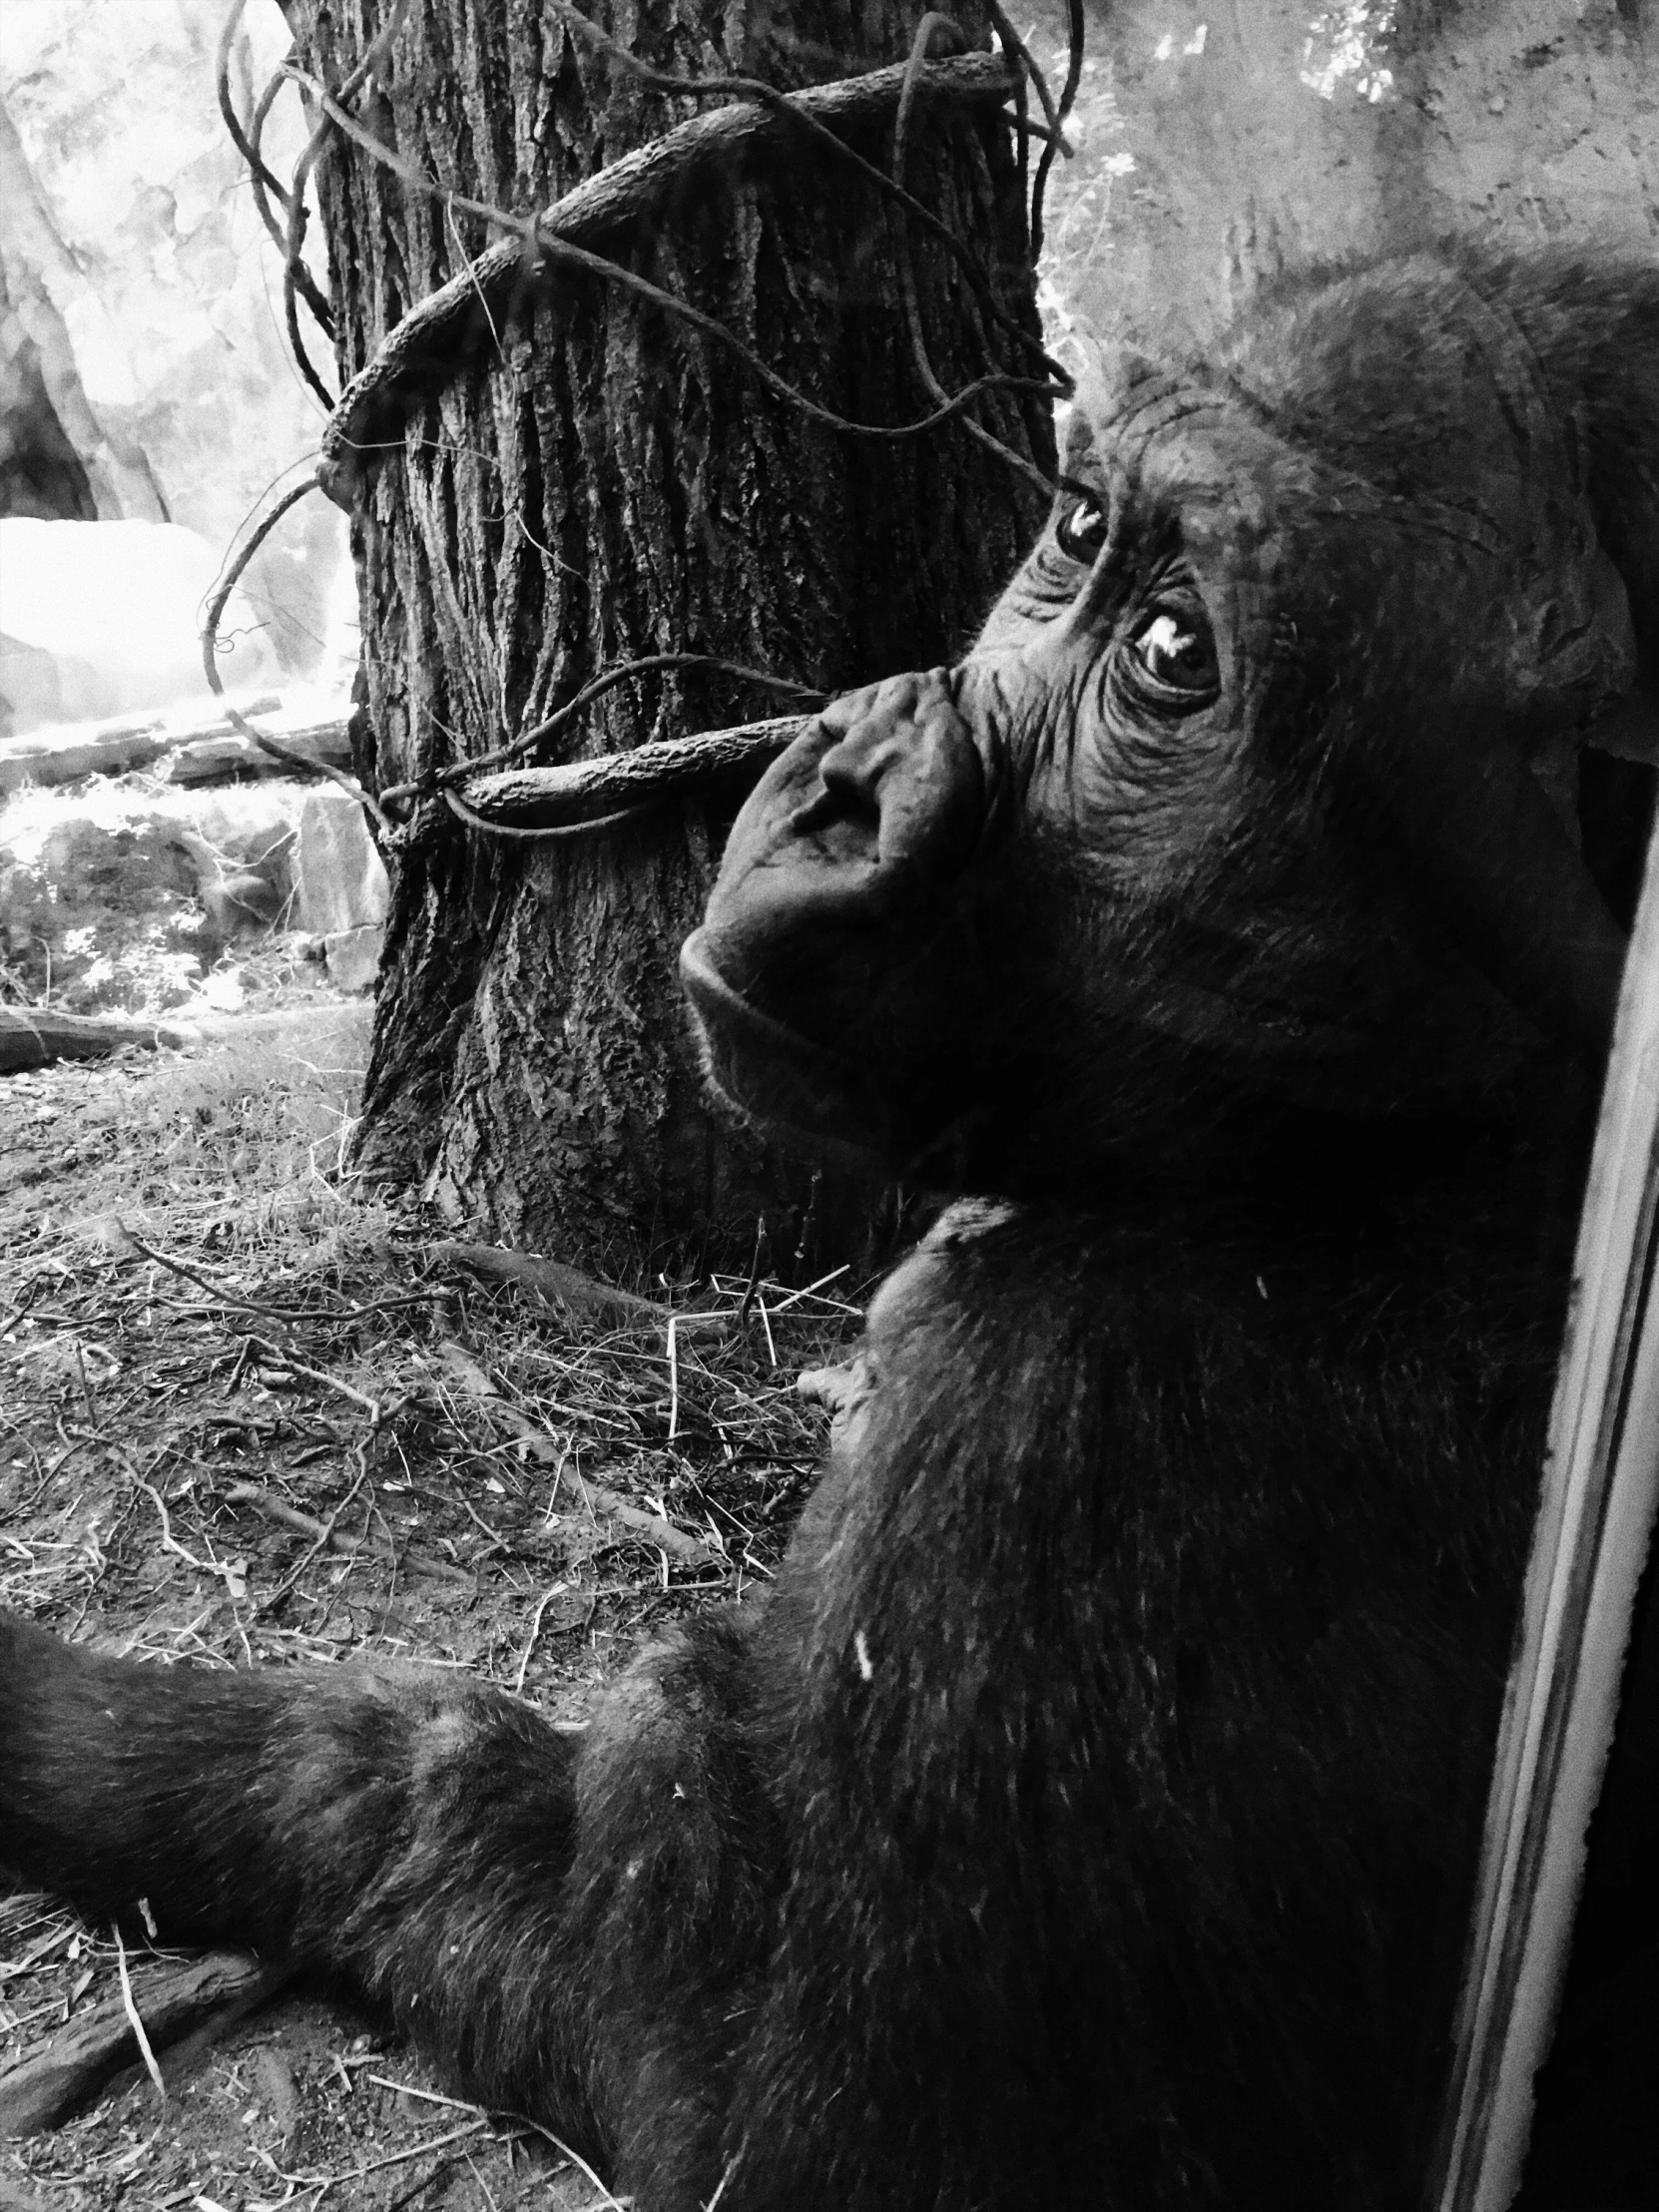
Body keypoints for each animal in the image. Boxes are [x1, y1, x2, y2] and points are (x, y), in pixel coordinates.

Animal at [3, 242, 1659, 2212]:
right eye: (1075, 530)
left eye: (1174, 655)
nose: (845, 772)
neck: (1384, 1140)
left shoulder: (1033, 1405)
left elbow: (795, 2132)